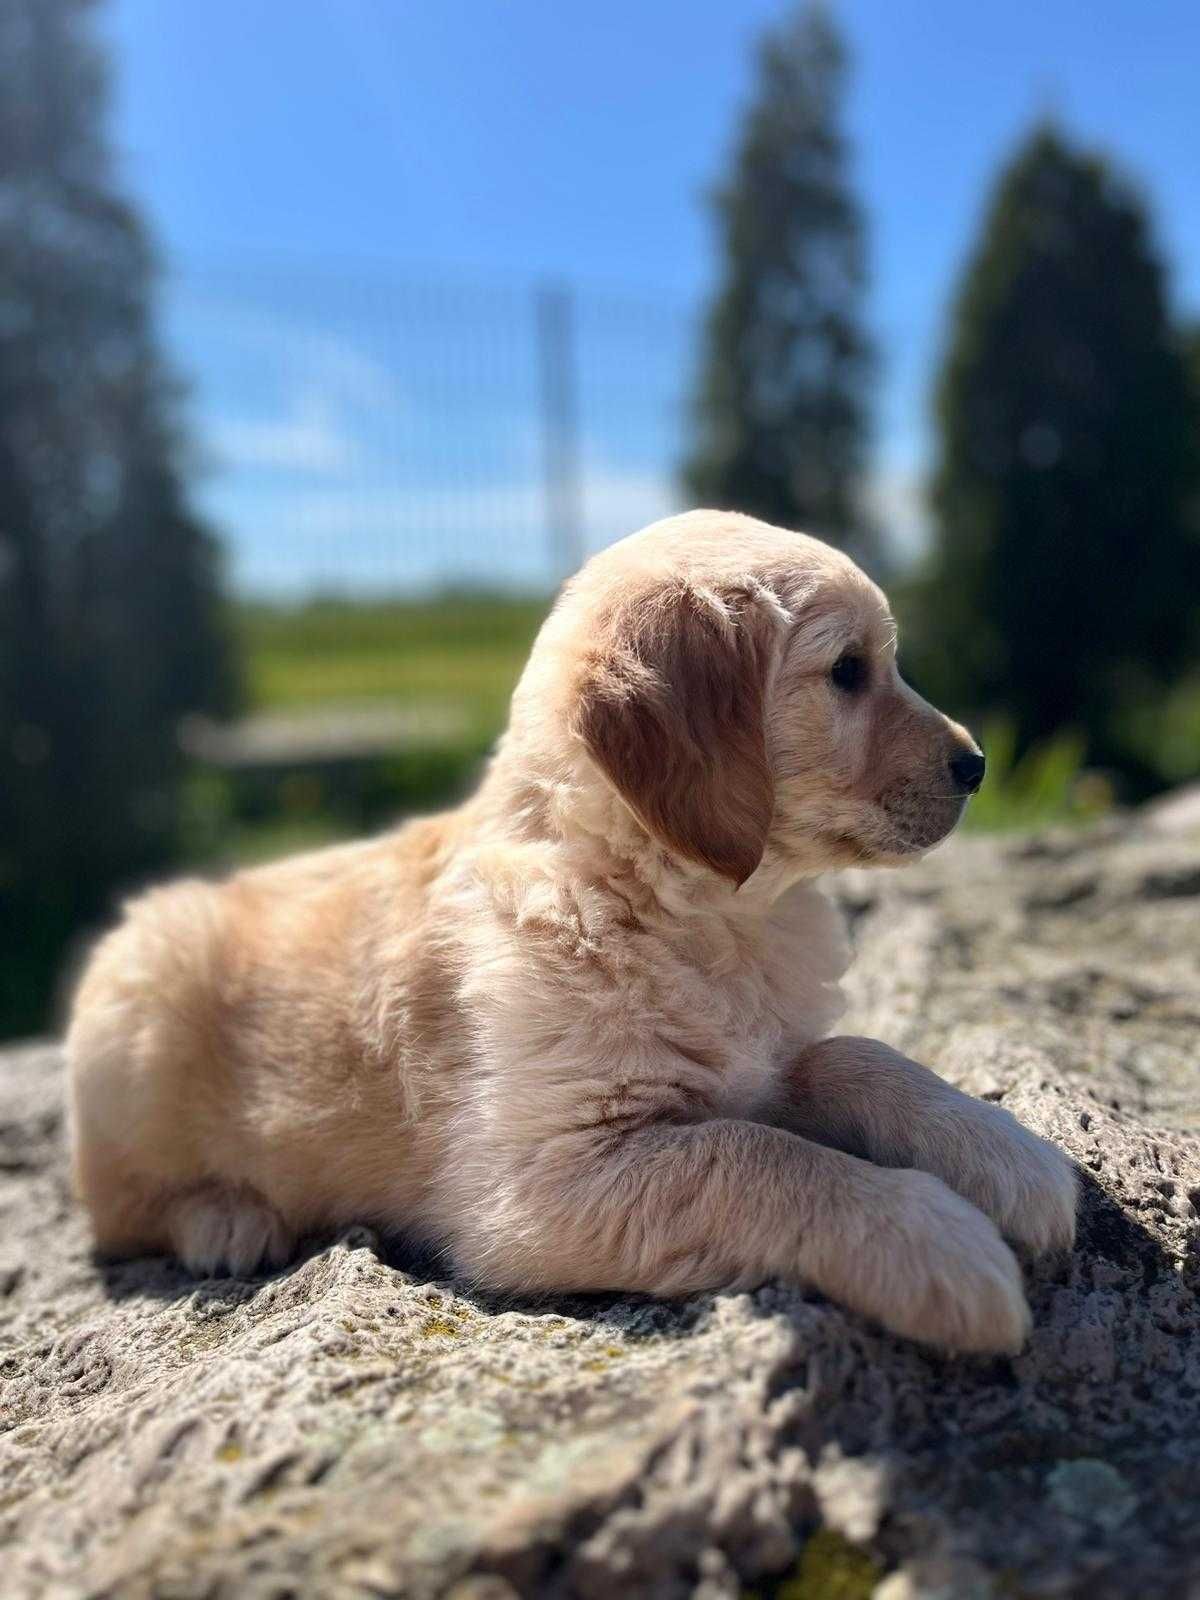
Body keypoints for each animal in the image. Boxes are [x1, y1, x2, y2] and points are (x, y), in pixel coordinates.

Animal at [65, 508, 1081, 1350]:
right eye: (846, 672)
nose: (978, 765)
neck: (690, 907)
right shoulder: (539, 1183)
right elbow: (757, 1160)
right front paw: (936, 1240)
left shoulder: (760, 1068)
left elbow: (853, 1058)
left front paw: (1004, 1150)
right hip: (137, 1017)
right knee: (117, 1212)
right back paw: (227, 1218)